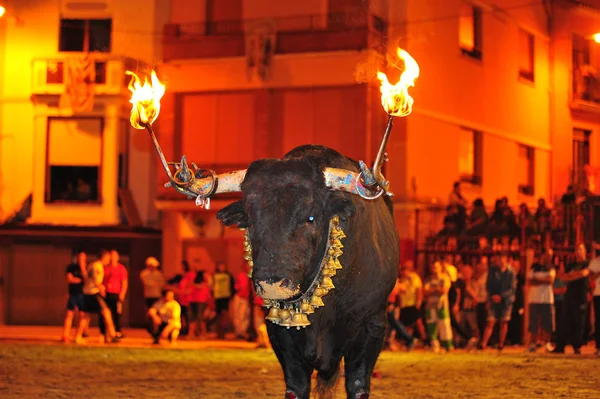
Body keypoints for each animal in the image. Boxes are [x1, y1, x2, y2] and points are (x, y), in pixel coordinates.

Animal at [216, 146, 398, 399]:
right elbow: (297, 387)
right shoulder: (280, 333)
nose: (272, 284)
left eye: (311, 217)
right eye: (250, 220)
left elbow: (358, 386)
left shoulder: (372, 326)